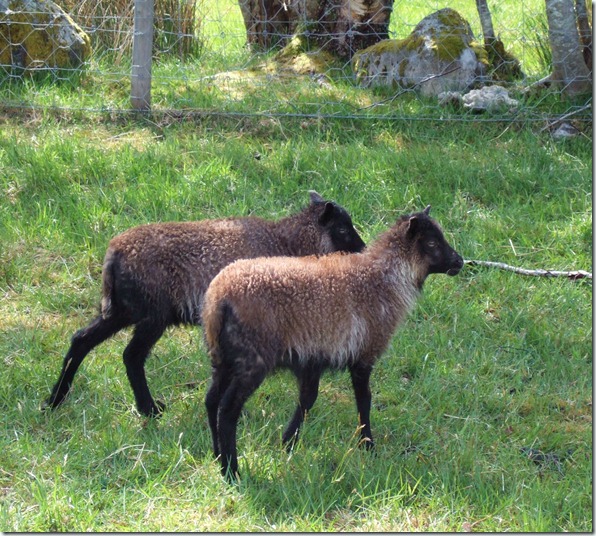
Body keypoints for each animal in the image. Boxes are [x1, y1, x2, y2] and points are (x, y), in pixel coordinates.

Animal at [45, 191, 365, 417]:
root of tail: (113, 254)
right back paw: (149, 409)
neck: (286, 243)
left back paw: (55, 400)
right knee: (131, 355)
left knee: (81, 340)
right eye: (343, 230)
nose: (363, 249)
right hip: (151, 315)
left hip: (123, 310)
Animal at [201, 205, 463, 479]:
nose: (460, 262)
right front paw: (368, 446)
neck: (384, 280)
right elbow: (364, 401)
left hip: (222, 357)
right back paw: (232, 471)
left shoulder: (312, 359)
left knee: (211, 400)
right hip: (252, 360)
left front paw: (288, 443)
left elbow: (307, 400)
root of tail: (219, 299)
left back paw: (217, 455)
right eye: (432, 242)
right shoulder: (363, 354)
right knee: (227, 411)